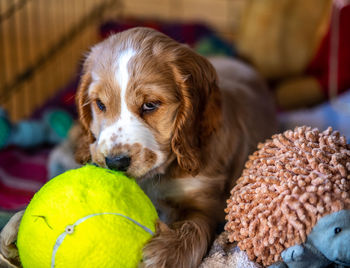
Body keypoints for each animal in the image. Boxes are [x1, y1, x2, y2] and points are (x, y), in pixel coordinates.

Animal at [0, 27, 274, 268]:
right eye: (100, 105)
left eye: (150, 105)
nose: (115, 163)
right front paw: (18, 223)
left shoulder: (206, 202)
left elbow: (194, 226)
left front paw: (163, 254)